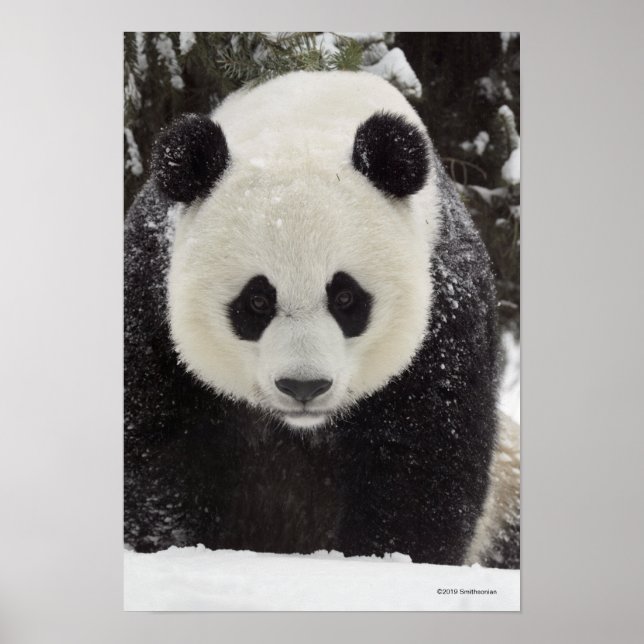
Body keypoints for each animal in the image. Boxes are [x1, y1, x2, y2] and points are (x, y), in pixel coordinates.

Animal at [124, 70, 520, 568]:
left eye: (346, 297)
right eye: (257, 302)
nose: (303, 387)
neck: (306, 115)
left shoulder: (446, 310)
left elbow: (423, 458)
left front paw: (386, 560)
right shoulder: (150, 296)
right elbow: (156, 447)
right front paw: (175, 549)